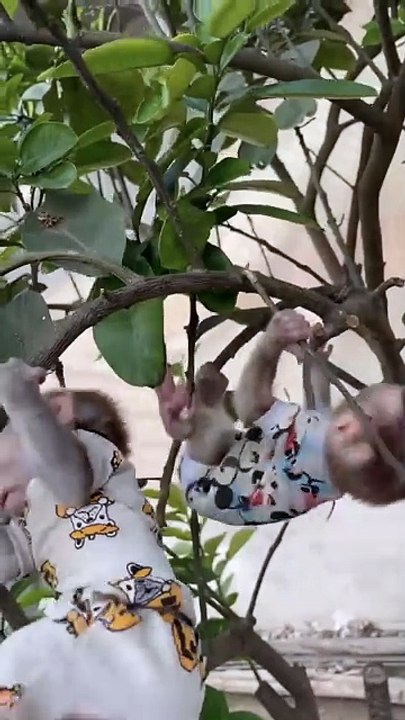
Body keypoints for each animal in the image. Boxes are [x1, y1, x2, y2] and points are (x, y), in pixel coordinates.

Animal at [156, 309, 405, 527]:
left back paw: (178, 411)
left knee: (208, 441)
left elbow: (252, 407)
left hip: (200, 471)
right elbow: (316, 403)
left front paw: (278, 334)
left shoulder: (304, 434)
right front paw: (316, 354)